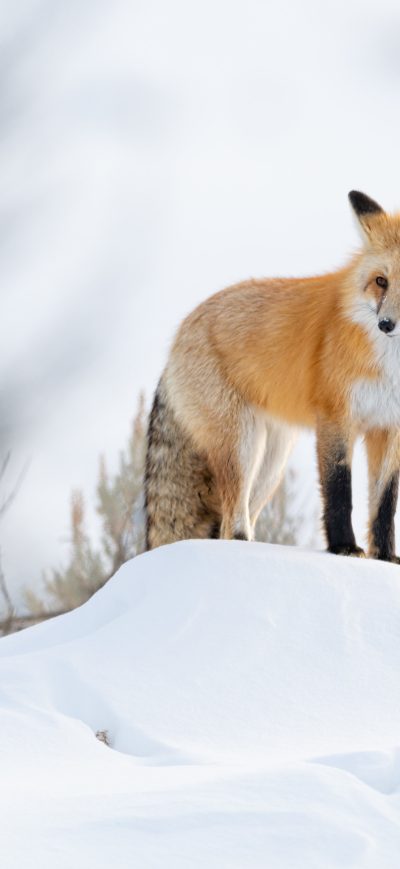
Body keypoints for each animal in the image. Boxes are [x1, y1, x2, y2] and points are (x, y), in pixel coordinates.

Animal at [145, 191, 400, 562]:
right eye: (381, 281)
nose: (386, 325)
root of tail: (181, 331)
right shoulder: (335, 418)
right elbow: (339, 491)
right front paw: (344, 548)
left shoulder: (389, 427)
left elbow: (384, 504)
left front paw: (385, 558)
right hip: (243, 445)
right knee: (230, 523)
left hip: (271, 462)